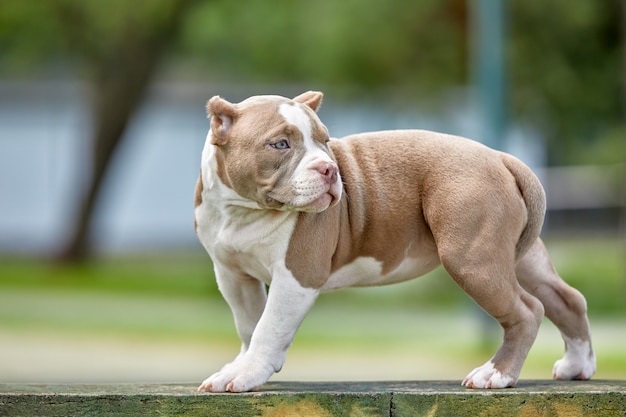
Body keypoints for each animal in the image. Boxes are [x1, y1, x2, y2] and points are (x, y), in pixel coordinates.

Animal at [193, 89, 592, 392]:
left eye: (325, 142)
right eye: (279, 144)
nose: (330, 168)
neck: (244, 211)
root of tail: (500, 157)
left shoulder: (297, 276)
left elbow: (268, 327)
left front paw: (248, 373)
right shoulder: (232, 275)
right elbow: (249, 324)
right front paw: (240, 366)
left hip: (472, 259)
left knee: (528, 310)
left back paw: (496, 374)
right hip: (516, 256)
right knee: (565, 299)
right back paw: (577, 365)